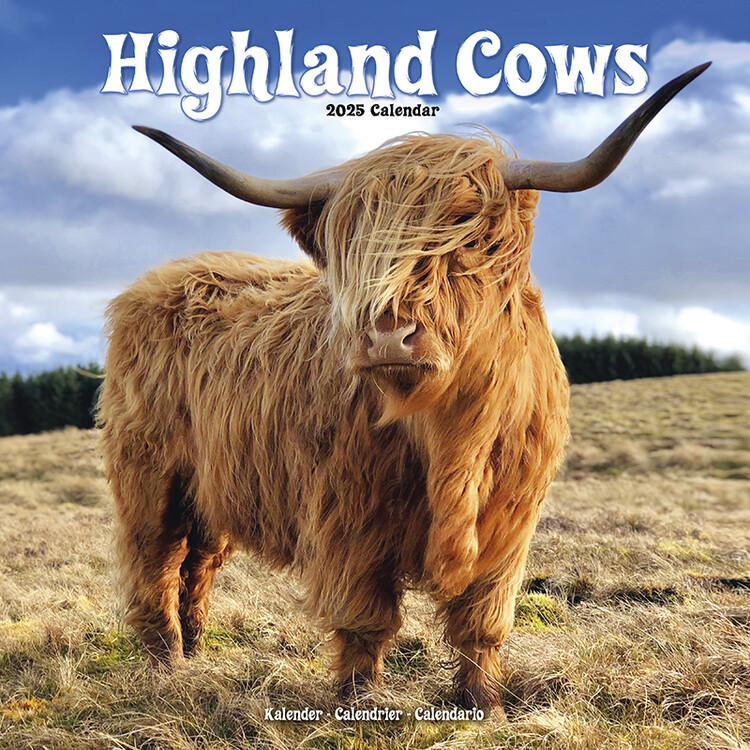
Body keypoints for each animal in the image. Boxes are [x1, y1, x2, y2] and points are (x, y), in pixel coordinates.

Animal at [97, 63, 709, 718]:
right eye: (355, 243)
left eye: (466, 233)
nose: (389, 334)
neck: (450, 436)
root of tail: (163, 276)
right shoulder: (349, 517)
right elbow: (365, 619)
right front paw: (358, 701)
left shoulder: (510, 526)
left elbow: (481, 622)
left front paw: (484, 705)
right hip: (151, 475)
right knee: (157, 560)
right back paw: (166, 667)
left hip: (214, 486)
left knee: (199, 562)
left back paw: (194, 650)